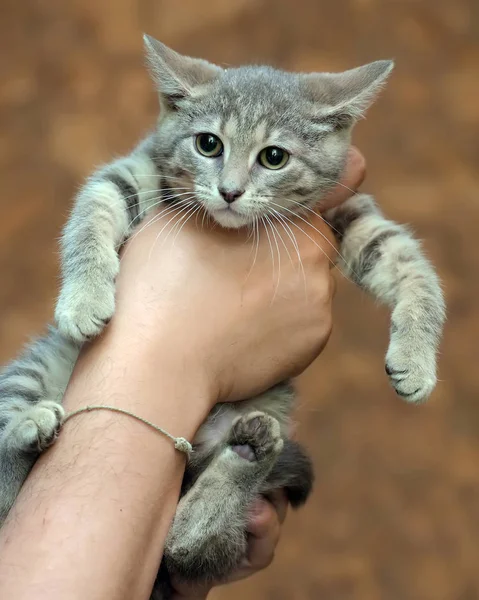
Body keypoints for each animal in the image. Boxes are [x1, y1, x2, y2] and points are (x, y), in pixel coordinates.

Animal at [0, 36, 446, 596]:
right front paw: (84, 296)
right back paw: (29, 427)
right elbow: (92, 209)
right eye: (208, 144)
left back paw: (241, 465)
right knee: (7, 486)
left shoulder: (349, 215)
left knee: (194, 550)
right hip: (36, 367)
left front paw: (417, 359)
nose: (230, 191)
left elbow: (413, 270)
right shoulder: (137, 170)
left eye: (274, 157)